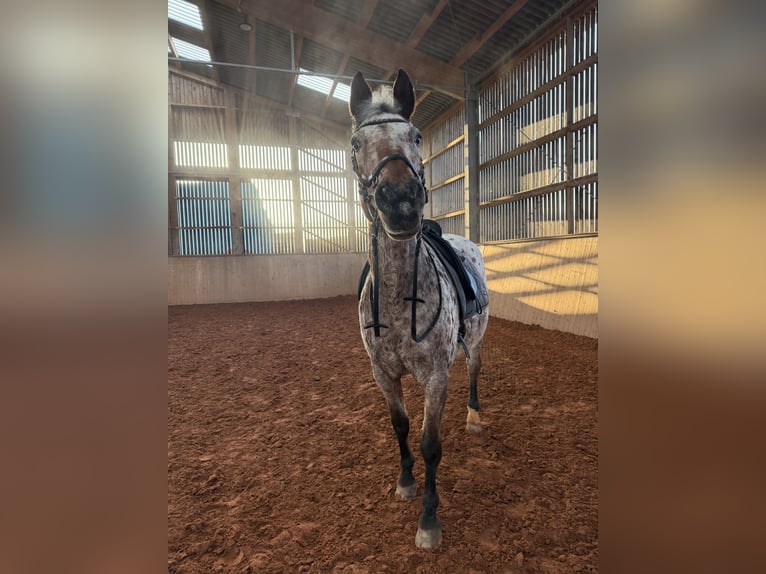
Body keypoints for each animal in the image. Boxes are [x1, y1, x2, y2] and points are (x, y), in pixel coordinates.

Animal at [349, 68, 490, 549]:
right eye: (356, 143)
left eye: (416, 135)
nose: (401, 203)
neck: (398, 299)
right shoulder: (382, 373)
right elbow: (401, 426)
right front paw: (406, 482)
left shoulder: (435, 376)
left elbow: (431, 444)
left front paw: (429, 520)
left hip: (476, 339)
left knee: (474, 369)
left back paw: (473, 416)